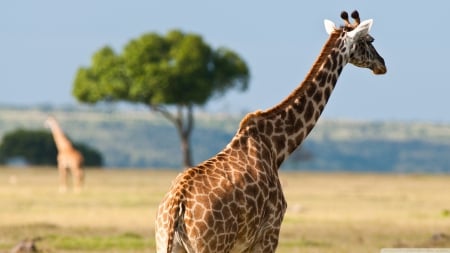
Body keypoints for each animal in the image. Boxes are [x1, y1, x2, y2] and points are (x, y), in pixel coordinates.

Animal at [156, 10, 386, 253]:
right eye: (369, 40)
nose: (382, 65)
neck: (277, 148)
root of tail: (175, 208)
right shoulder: (269, 233)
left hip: (166, 243)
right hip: (210, 246)